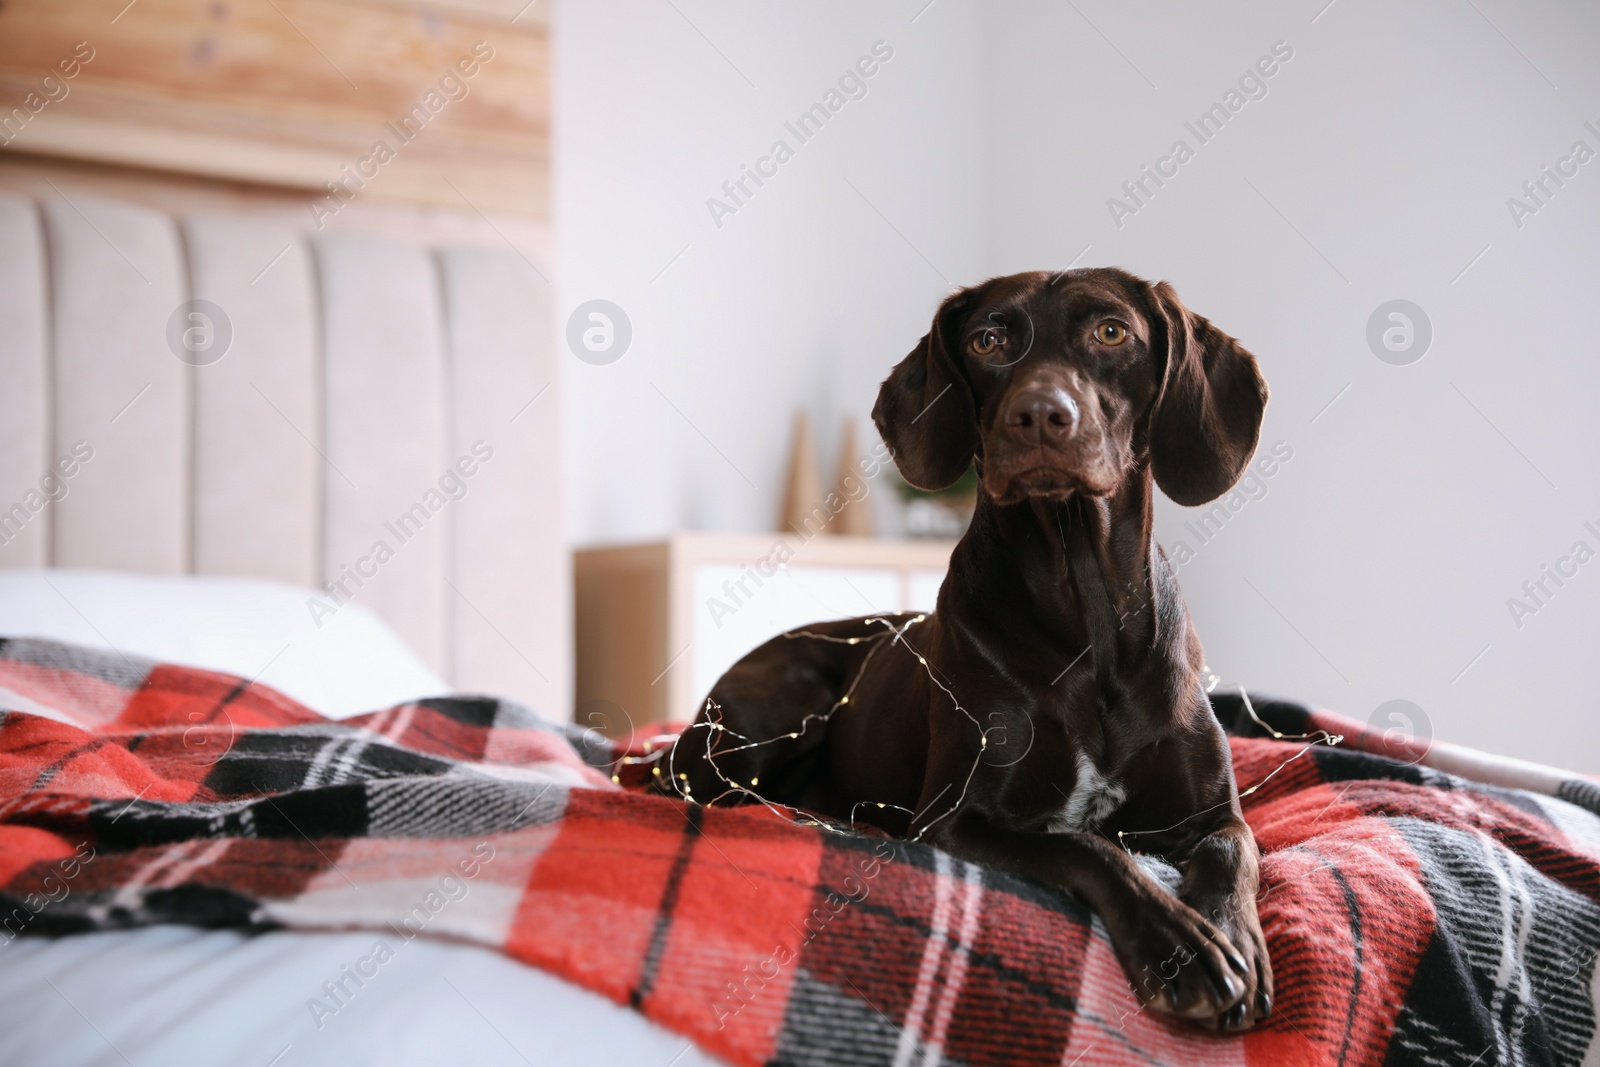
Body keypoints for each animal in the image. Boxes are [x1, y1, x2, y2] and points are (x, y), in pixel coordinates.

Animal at [662, 268, 1273, 1036]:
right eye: (988, 340)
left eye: (1111, 331)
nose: (1039, 415)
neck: (1086, 618)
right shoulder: (956, 820)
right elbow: (1087, 844)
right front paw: (1180, 944)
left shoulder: (1211, 815)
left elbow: (1232, 851)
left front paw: (1233, 931)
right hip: (783, 706)